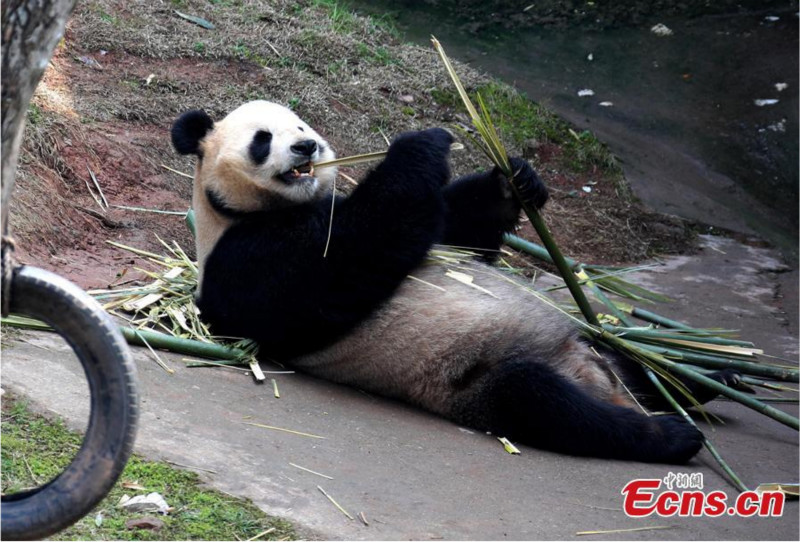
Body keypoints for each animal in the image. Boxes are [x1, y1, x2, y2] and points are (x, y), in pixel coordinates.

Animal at [172, 100, 739, 463]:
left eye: (299, 123)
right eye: (263, 139)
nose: (307, 147)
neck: (242, 208)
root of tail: (597, 379)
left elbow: (456, 234)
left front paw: (513, 179)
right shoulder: (246, 257)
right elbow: (343, 258)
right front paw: (421, 144)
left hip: (592, 345)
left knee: (632, 360)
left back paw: (708, 378)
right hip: (477, 379)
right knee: (543, 401)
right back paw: (670, 434)